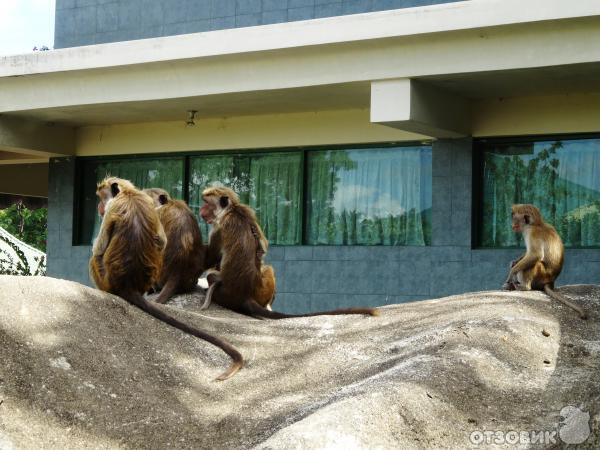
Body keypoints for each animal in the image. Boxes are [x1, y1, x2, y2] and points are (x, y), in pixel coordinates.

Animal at [89, 177, 244, 380]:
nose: (99, 206)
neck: (129, 194)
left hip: (108, 278)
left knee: (96, 258)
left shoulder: (118, 207)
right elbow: (161, 240)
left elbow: (98, 249)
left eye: (103, 198)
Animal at [202, 186, 380, 320]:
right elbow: (263, 247)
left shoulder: (218, 226)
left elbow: (211, 258)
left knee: (215, 277)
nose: (202, 210)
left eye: (207, 204)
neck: (231, 210)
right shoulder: (247, 212)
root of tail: (243, 295)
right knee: (268, 269)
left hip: (225, 294)